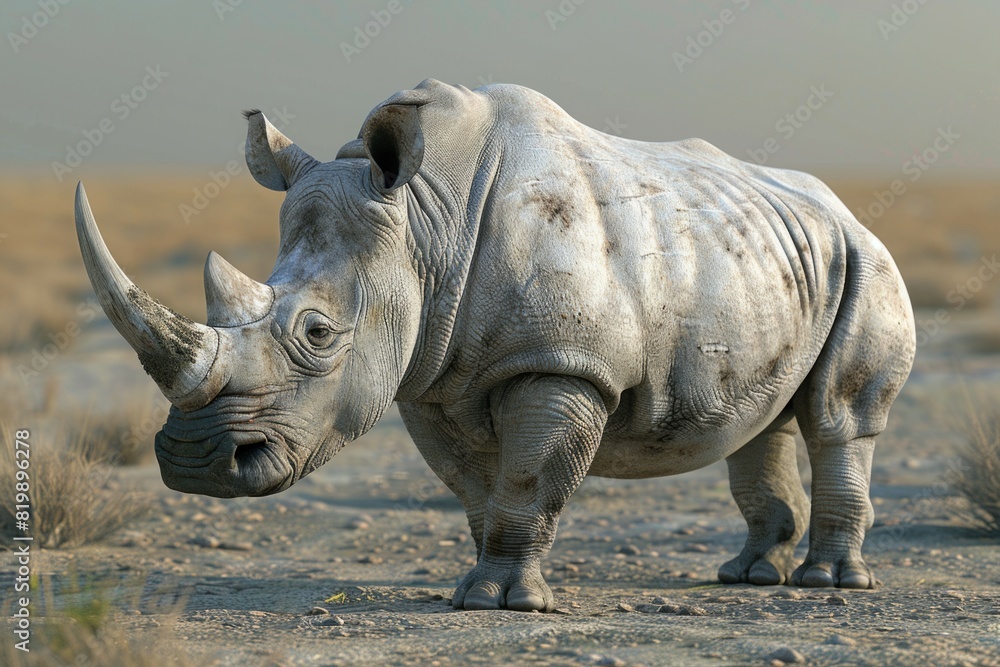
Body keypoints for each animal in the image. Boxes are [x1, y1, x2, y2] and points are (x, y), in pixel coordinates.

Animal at [75, 79, 916, 612]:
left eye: (316, 332)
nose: (195, 464)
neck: (423, 219)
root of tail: (842, 206)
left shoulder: (562, 366)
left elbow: (528, 478)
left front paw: (504, 600)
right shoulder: (426, 374)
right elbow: (474, 487)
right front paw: (474, 585)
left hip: (867, 259)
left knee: (838, 417)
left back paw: (828, 585)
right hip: (769, 260)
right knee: (763, 417)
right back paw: (748, 576)